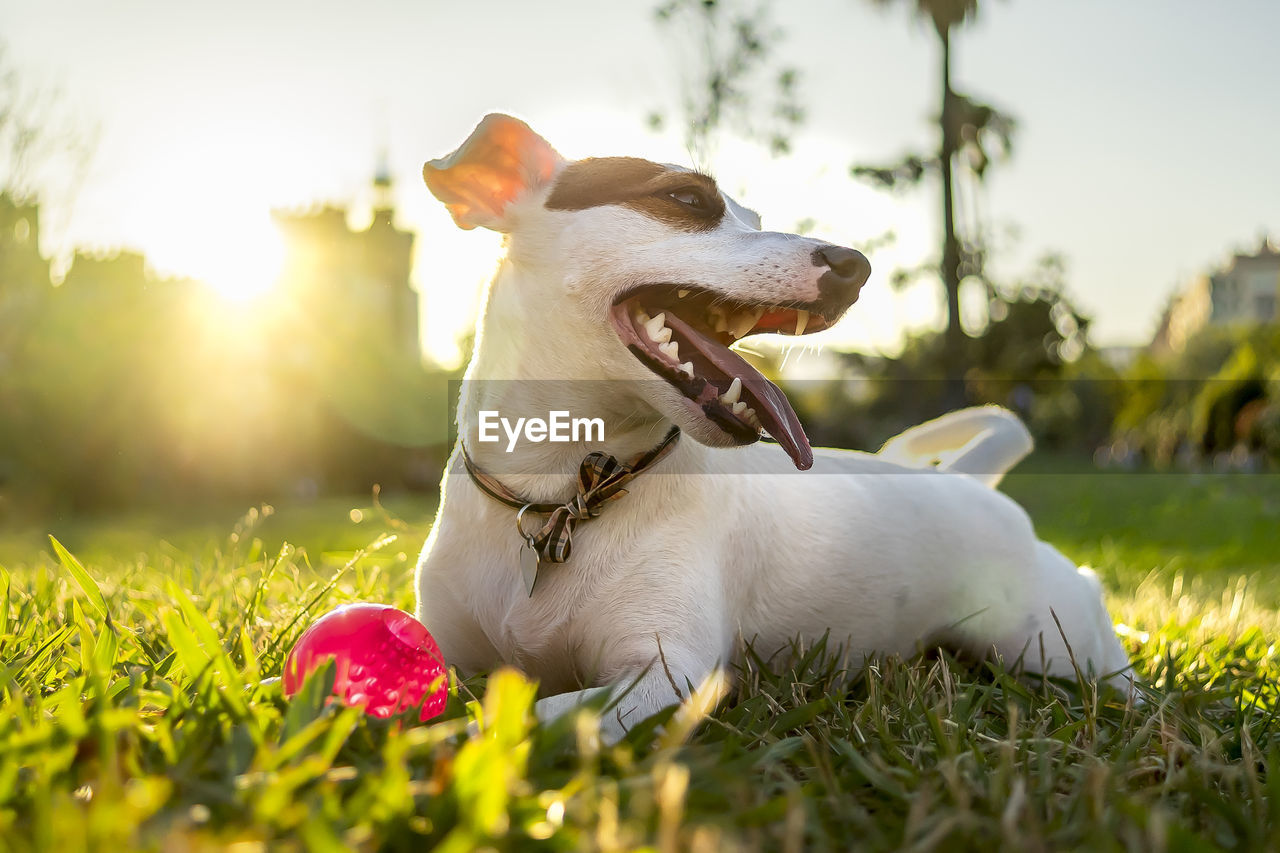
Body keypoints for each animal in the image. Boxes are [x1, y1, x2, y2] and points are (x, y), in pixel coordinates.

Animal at [412, 112, 1131, 737]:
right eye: (685, 197)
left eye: (754, 218)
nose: (854, 266)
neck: (562, 496)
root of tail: (970, 480)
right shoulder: (446, 645)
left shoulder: (661, 674)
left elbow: (523, 715)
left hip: (1050, 644)